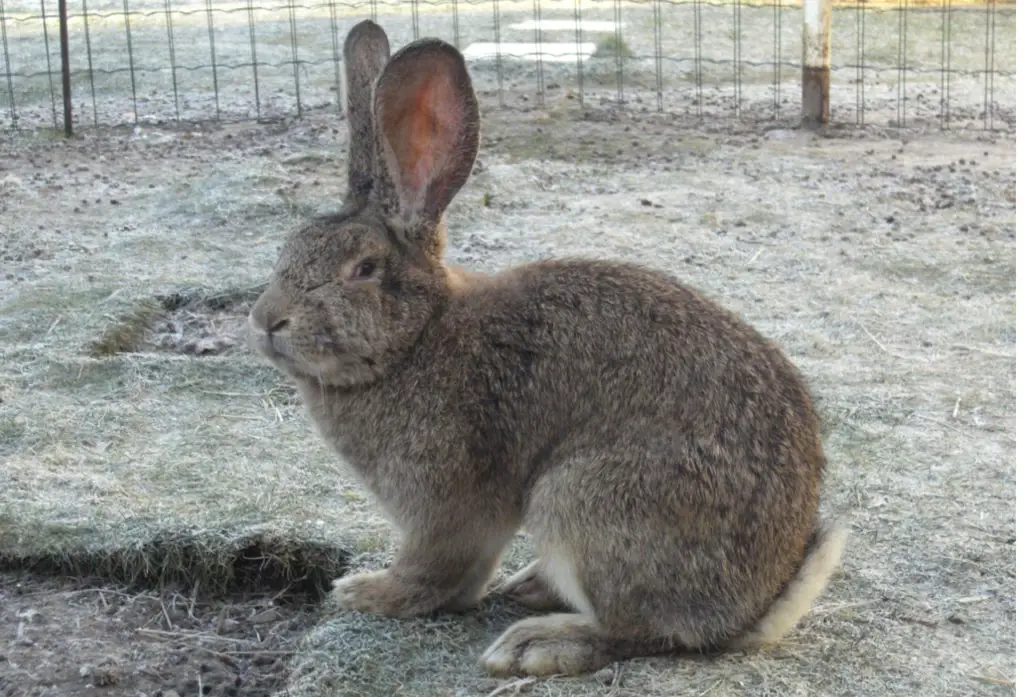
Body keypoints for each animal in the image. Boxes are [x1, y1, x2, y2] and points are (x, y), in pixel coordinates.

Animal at [247, 19, 847, 675]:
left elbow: (435, 570)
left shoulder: (445, 504)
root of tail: (753, 608)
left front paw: (368, 593)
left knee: (643, 632)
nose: (266, 320)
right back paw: (531, 588)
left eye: (363, 269)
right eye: (287, 248)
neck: (416, 338)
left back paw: (537, 643)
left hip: (581, 502)